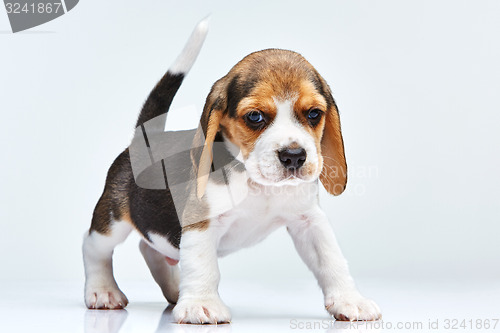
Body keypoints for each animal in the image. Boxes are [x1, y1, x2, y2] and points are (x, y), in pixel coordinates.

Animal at [82, 17, 380, 322]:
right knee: (93, 247)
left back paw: (175, 290)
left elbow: (332, 260)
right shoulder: (200, 222)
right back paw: (103, 290)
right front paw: (201, 304)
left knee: (150, 248)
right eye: (255, 116)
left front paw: (349, 300)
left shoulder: (309, 221)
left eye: (314, 114)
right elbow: (204, 266)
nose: (294, 156)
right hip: (113, 219)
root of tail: (145, 138)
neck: (257, 182)